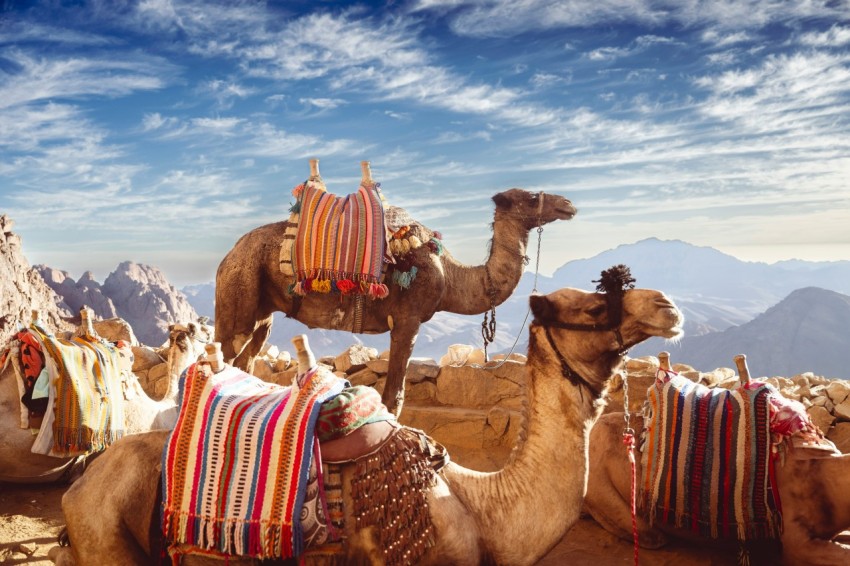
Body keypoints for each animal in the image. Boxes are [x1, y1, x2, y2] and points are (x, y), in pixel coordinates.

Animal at [214, 160, 576, 418]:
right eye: (531, 197)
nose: (568, 204)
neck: (449, 275)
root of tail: (226, 258)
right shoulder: (408, 319)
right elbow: (394, 397)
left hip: (262, 312)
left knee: (246, 359)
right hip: (239, 293)